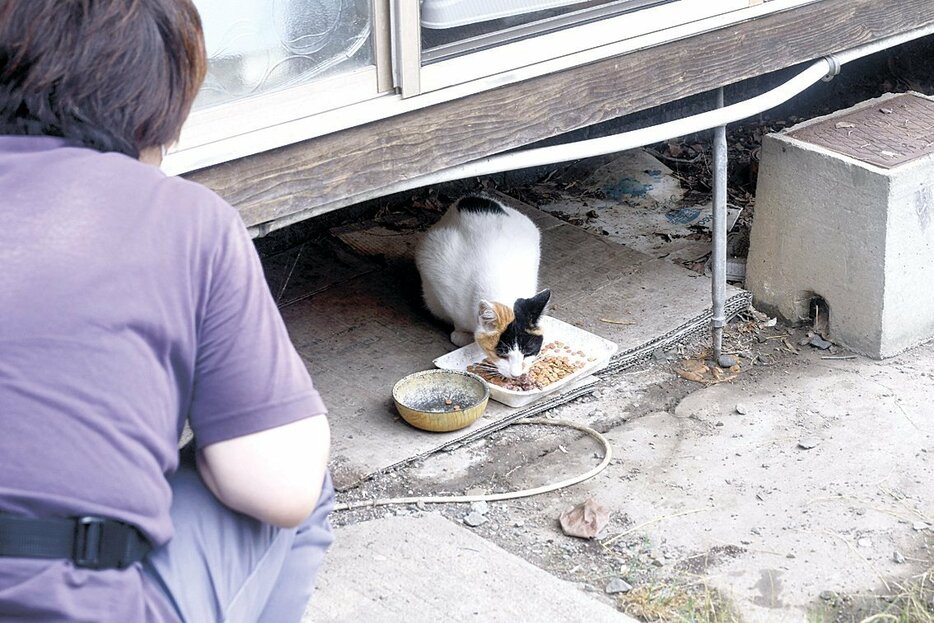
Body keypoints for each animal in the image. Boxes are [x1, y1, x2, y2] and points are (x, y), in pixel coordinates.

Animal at [414, 197, 552, 378]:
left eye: (528, 351)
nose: (516, 374)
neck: (504, 282)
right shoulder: (440, 277)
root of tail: (471, 198)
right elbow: (457, 318)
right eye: (502, 353)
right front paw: (462, 335)